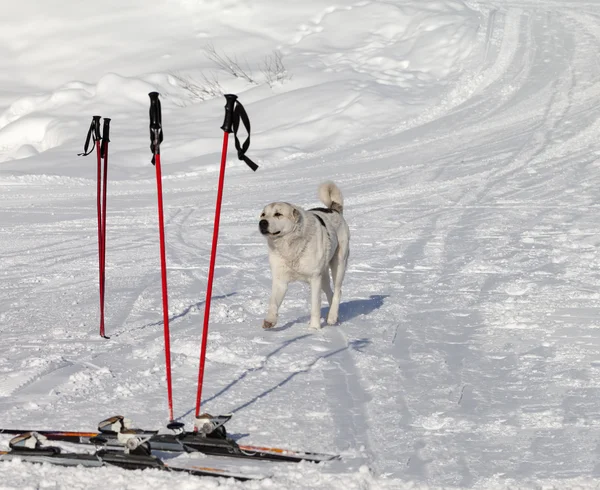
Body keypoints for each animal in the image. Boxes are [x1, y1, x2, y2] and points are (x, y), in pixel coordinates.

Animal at [258, 182, 352, 332]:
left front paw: (314, 329)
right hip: (324, 276)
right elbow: (273, 302)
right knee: (330, 293)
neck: (289, 245)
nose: (262, 223)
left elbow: (315, 306)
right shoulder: (280, 280)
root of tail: (334, 209)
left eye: (278, 214)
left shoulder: (314, 279)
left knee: (338, 291)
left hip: (339, 265)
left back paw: (332, 317)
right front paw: (270, 321)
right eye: (263, 215)